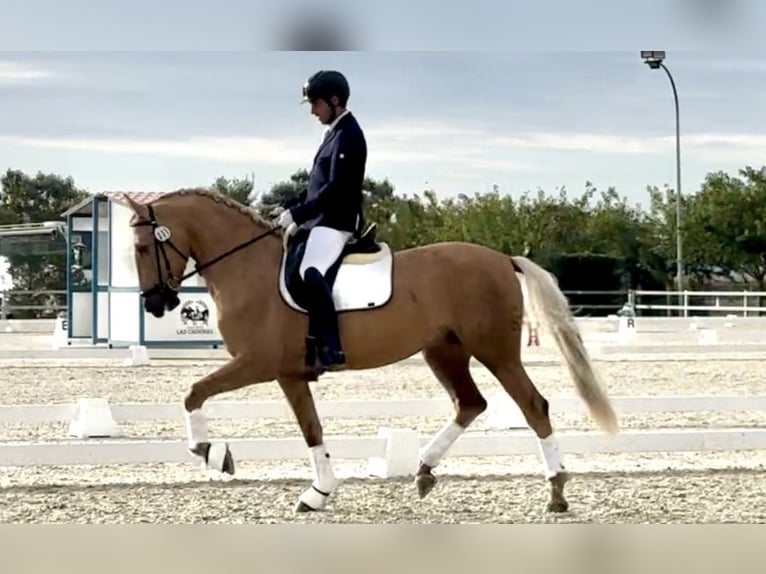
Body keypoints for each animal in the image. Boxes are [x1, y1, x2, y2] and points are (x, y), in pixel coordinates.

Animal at [123, 189, 620, 516]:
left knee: (533, 405)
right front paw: (319, 492)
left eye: (144, 247)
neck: (249, 270)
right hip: (445, 352)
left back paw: (556, 493)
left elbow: (194, 392)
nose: (156, 304)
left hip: (496, 351)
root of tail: (503, 258)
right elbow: (311, 429)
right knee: (470, 403)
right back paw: (424, 470)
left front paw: (210, 451)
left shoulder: (258, 364)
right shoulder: (289, 374)